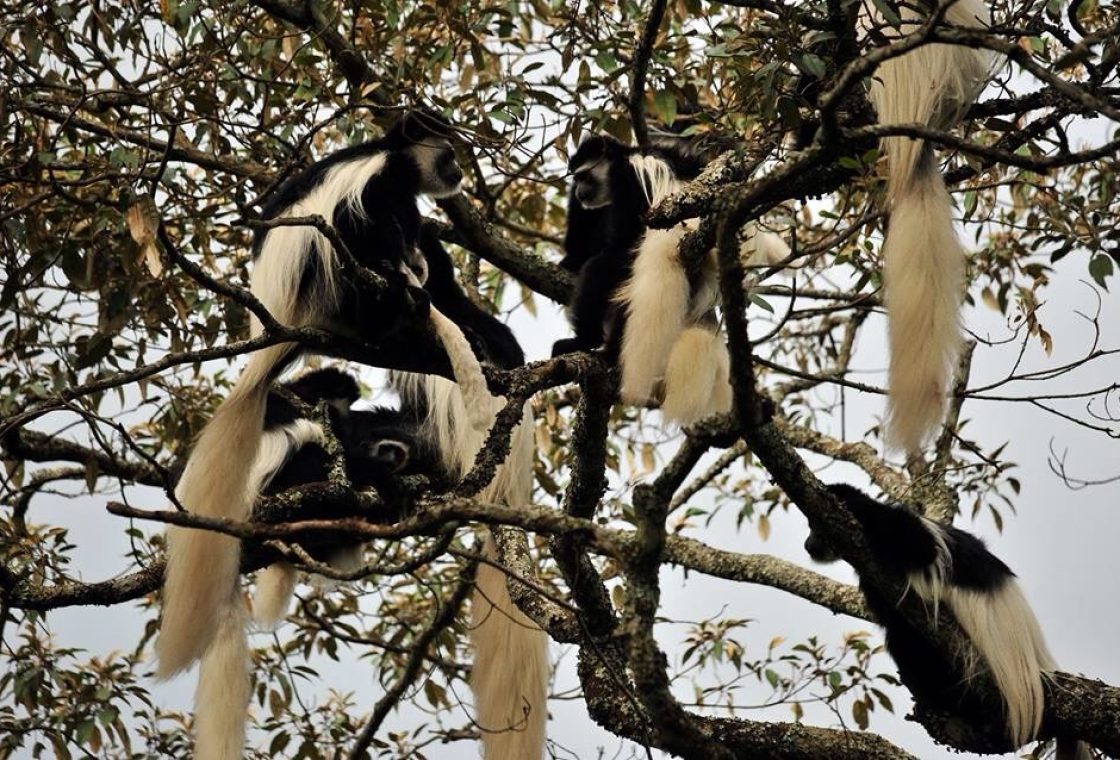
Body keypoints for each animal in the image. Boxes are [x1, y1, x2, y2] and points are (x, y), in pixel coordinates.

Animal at [155, 112, 495, 685]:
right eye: (448, 154)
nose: (458, 175)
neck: (392, 157)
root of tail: (279, 322)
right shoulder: (378, 184)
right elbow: (372, 227)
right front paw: (406, 271)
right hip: (329, 289)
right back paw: (395, 303)